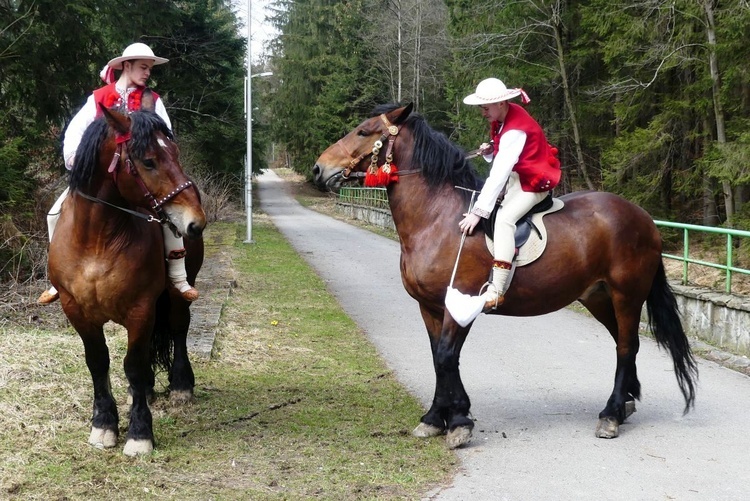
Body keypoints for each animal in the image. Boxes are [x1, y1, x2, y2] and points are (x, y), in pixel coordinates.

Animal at [48, 106, 206, 458]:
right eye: (148, 161)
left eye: (175, 152)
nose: (196, 222)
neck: (97, 242)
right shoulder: (76, 310)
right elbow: (98, 362)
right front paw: (103, 425)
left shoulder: (141, 308)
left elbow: (133, 364)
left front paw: (139, 433)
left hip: (177, 293)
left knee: (179, 328)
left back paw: (180, 385)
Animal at [312, 103, 700, 448]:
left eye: (364, 131)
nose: (318, 169)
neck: (437, 219)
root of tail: (643, 217)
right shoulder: (430, 307)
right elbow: (437, 358)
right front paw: (436, 418)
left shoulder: (460, 304)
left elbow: (446, 357)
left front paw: (459, 421)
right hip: (599, 297)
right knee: (624, 344)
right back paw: (627, 402)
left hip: (627, 296)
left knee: (625, 345)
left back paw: (612, 414)